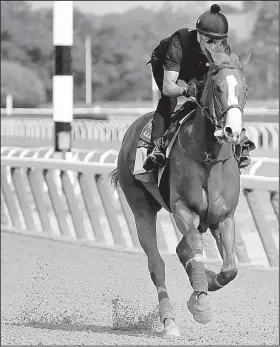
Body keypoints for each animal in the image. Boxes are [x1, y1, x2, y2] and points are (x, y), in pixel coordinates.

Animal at [108, 44, 250, 338]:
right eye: (217, 88)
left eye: (245, 88)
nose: (232, 131)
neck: (208, 157)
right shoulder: (184, 209)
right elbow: (194, 249)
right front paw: (201, 305)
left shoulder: (223, 217)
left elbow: (229, 269)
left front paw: (205, 285)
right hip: (141, 208)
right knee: (157, 265)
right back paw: (169, 322)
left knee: (184, 250)